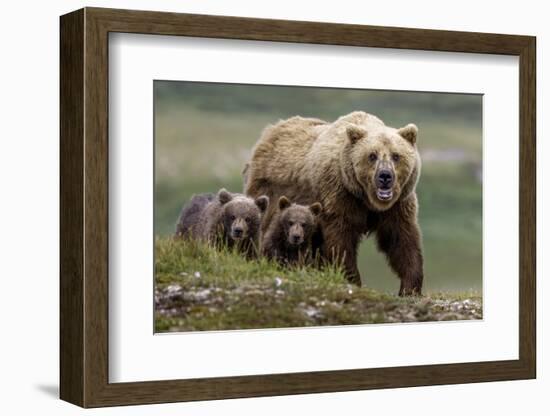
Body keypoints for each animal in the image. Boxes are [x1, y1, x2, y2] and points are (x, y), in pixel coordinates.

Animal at [247, 110, 426, 296]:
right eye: (372, 155)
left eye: (396, 155)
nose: (385, 176)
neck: (366, 199)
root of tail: (271, 130)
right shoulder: (339, 196)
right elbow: (340, 240)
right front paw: (352, 279)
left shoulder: (398, 204)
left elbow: (401, 239)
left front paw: (410, 287)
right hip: (271, 191)